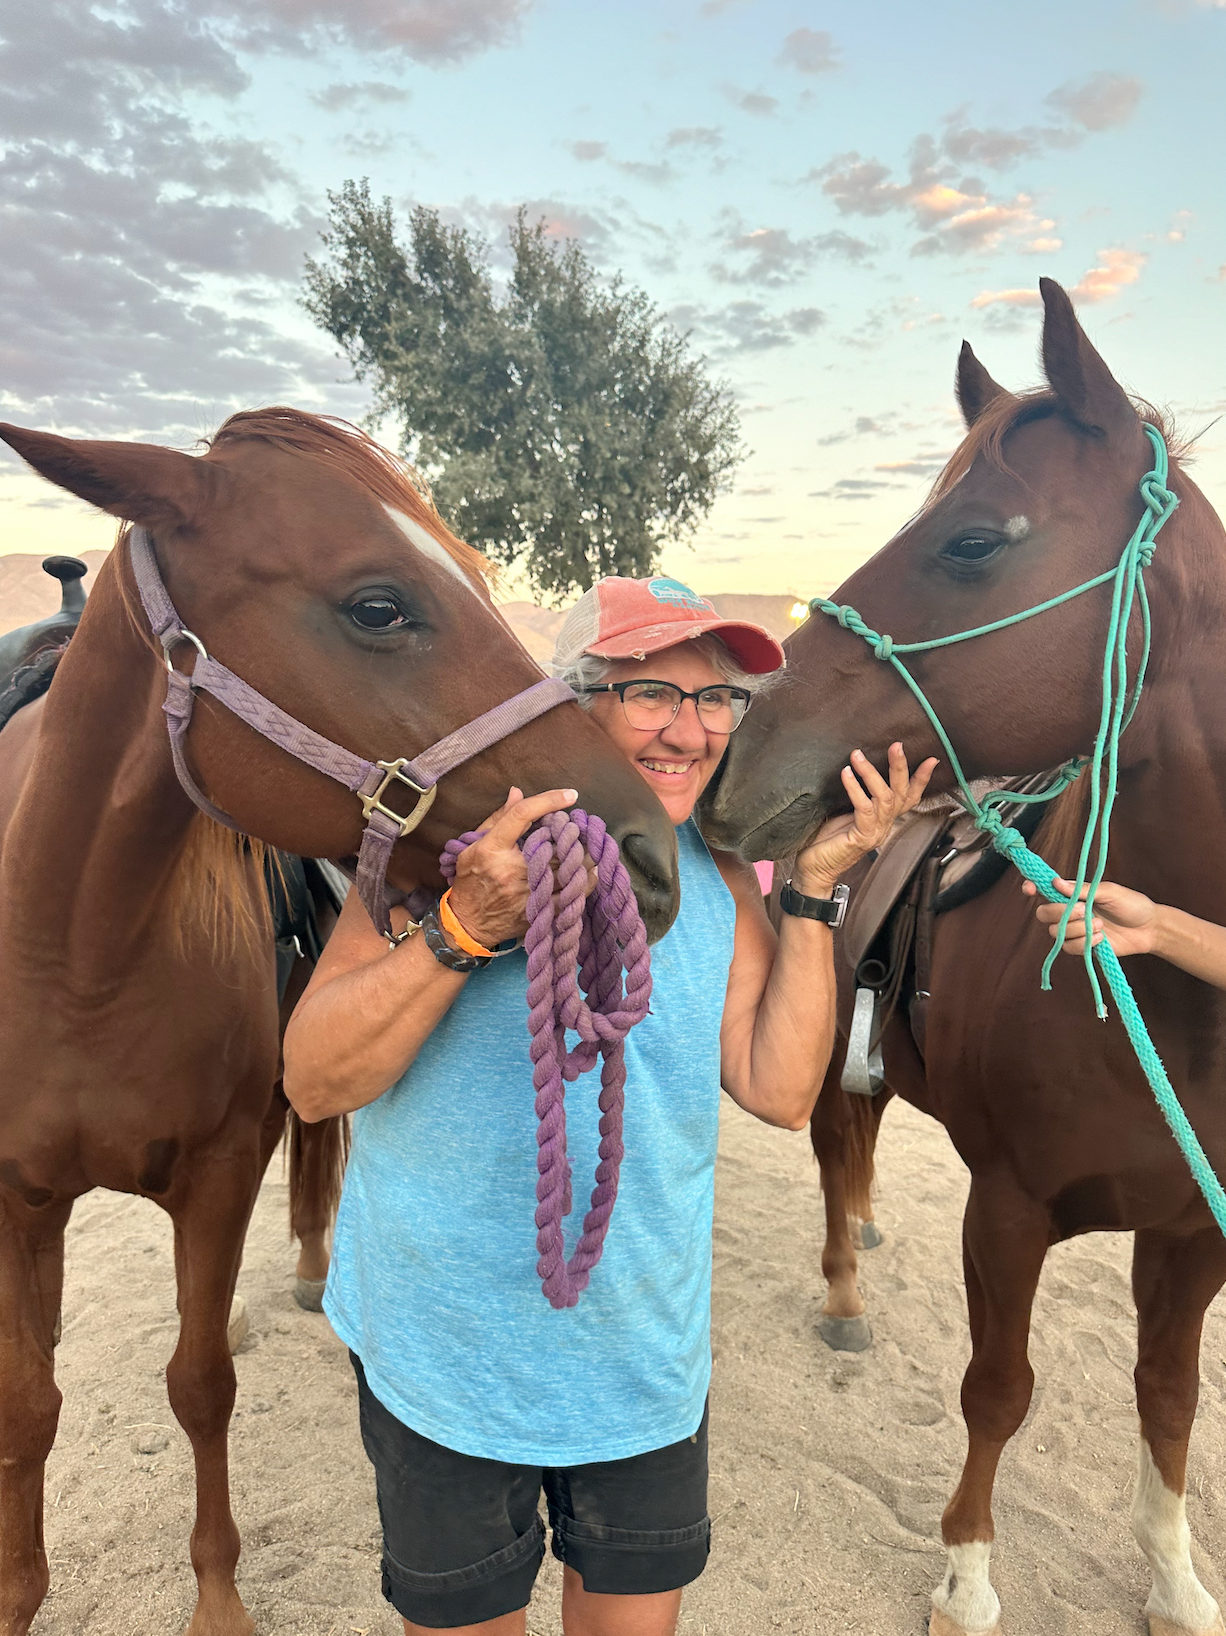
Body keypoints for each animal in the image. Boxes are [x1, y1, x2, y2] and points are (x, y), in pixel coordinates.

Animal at [0, 407, 679, 1636]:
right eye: (376, 606)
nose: (648, 851)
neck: (77, 950)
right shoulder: (14, 1197)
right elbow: (28, 1406)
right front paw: (17, 1591)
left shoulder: (222, 1170)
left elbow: (200, 1382)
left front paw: (219, 1600)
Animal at [700, 279, 1226, 1636]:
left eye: (973, 543)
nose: (733, 767)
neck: (1172, 1011)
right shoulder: (1007, 1209)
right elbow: (997, 1388)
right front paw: (965, 1576)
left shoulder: (1190, 1235)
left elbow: (1165, 1397)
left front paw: (1170, 1578)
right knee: (834, 1150)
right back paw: (843, 1293)